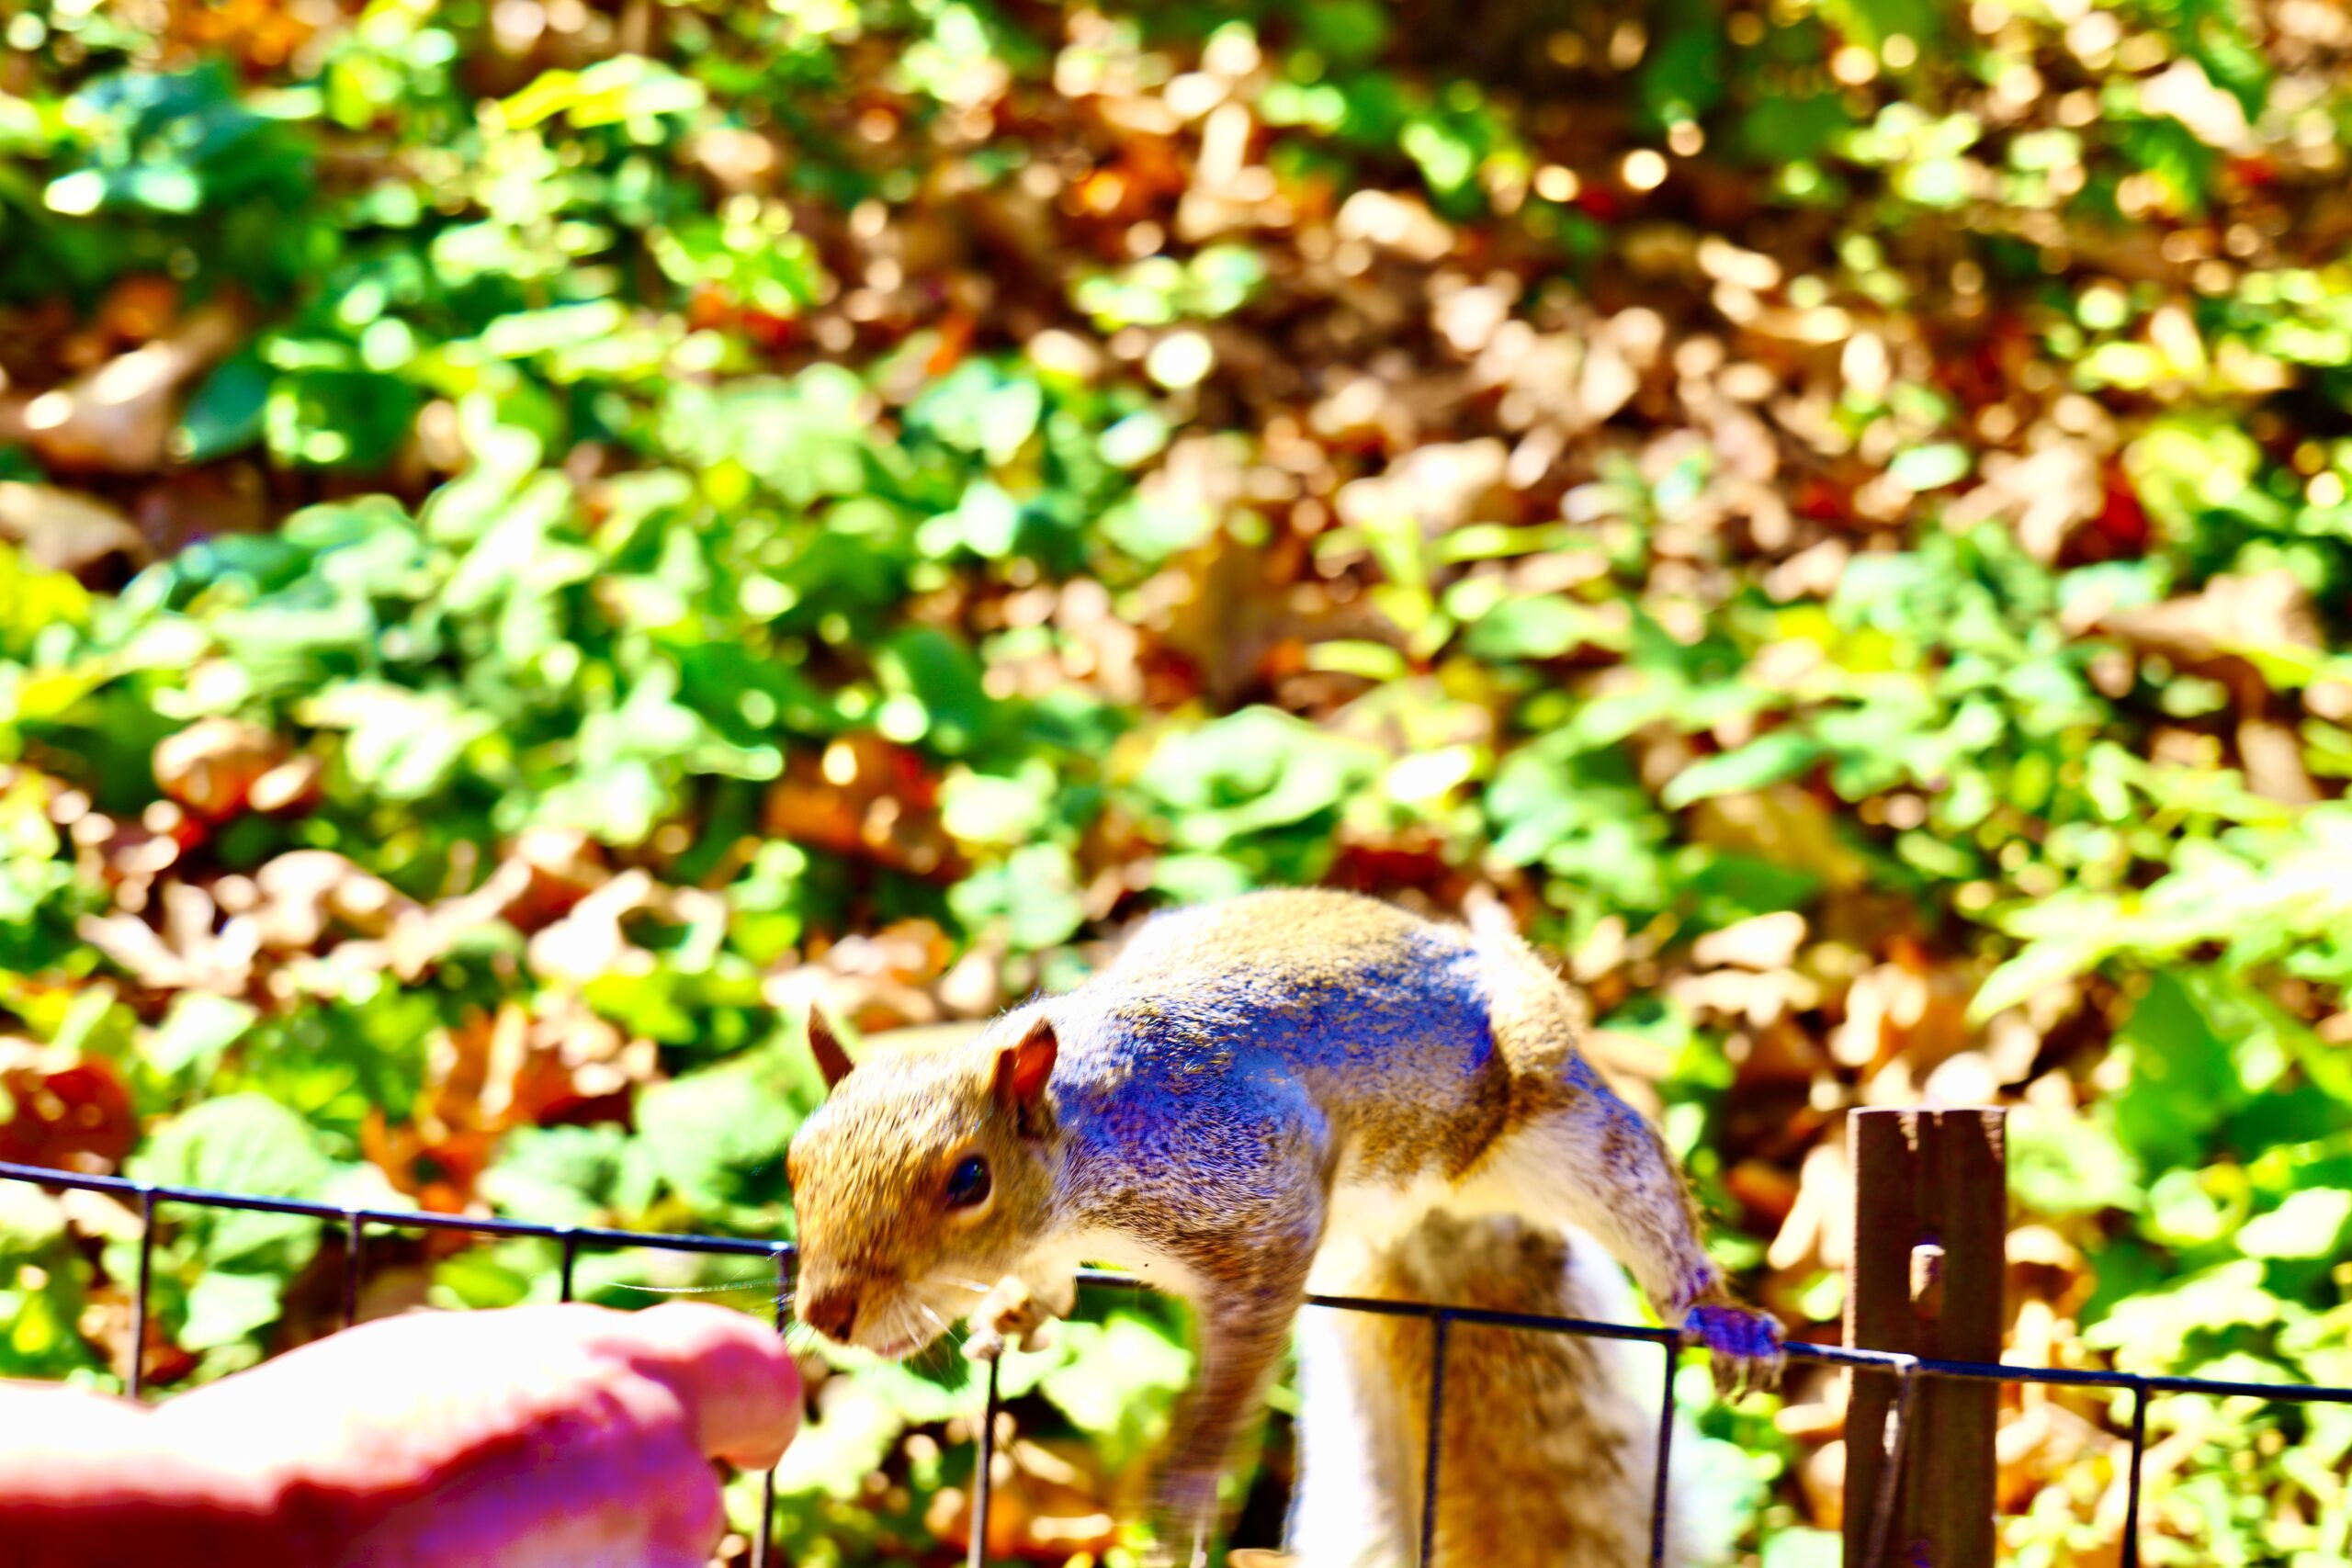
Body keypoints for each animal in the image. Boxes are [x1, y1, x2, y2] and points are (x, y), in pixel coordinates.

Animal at [780, 888, 1769, 1561]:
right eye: (795, 1161)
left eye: (970, 1178)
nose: (828, 1313)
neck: (1083, 1148)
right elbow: (1041, 1280)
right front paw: (1015, 1305)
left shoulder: (1257, 1191)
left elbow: (1236, 1366)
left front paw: (1186, 1478)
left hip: (1551, 1117)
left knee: (1642, 1195)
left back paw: (1716, 1311)